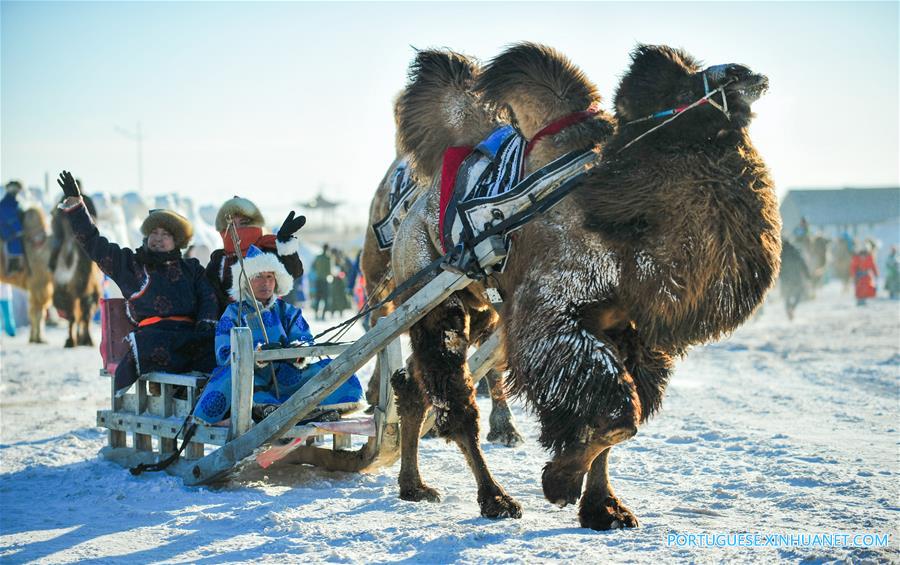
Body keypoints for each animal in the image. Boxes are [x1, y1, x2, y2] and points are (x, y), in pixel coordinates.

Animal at [390, 40, 776, 528]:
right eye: (685, 83)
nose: (746, 72)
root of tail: (411, 211)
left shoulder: (628, 330)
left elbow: (620, 418)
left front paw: (603, 507)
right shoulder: (553, 314)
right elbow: (617, 416)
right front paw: (560, 483)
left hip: (478, 305)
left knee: (412, 382)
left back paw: (414, 486)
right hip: (430, 291)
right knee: (455, 401)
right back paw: (494, 498)